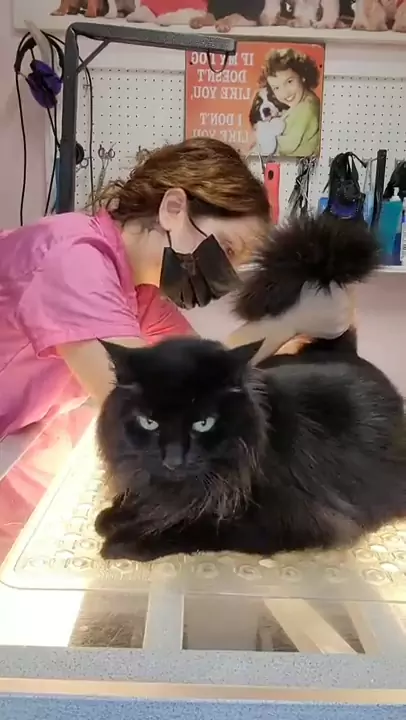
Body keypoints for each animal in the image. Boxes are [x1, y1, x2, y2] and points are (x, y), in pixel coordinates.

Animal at [95, 216, 406, 563]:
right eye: (149, 422)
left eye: (203, 423)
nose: (174, 459)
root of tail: (343, 348)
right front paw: (118, 513)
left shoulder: (284, 519)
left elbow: (195, 525)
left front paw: (126, 539)